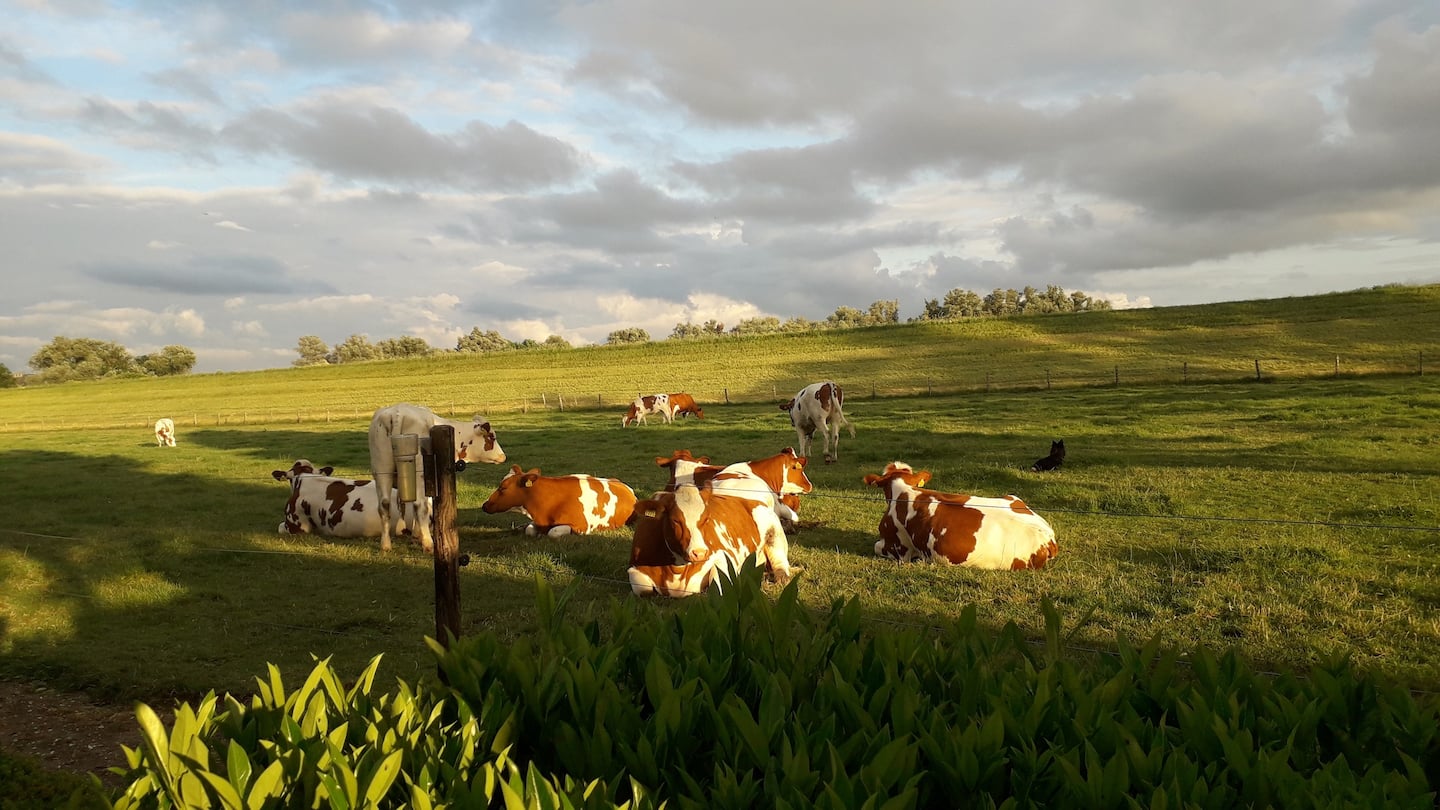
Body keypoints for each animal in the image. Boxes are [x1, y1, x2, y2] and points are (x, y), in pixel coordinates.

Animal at [368, 400, 509, 547]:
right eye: (492, 437)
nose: (503, 456)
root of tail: (397, 413)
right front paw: (419, 535)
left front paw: (415, 535)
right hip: (418, 473)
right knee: (419, 504)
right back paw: (428, 543)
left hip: (381, 469)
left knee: (384, 505)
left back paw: (385, 545)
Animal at [624, 481, 794, 596]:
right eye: (675, 520)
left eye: (706, 518)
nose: (699, 553)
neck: (677, 569)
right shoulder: (634, 567)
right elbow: (643, 589)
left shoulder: (723, 558)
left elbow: (717, 587)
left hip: (775, 533)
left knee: (781, 566)